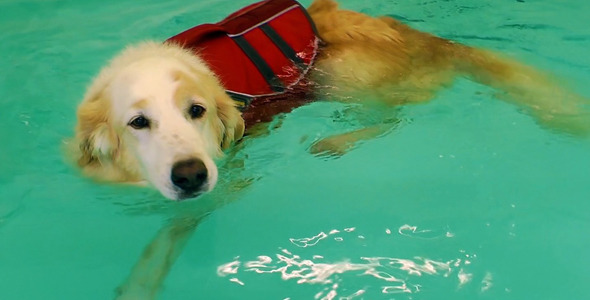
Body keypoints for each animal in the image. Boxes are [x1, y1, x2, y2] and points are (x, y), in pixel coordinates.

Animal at [70, 0, 590, 202]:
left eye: (196, 111)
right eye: (138, 122)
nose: (191, 175)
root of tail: (422, 39)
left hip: (341, 74)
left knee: (392, 116)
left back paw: (336, 140)